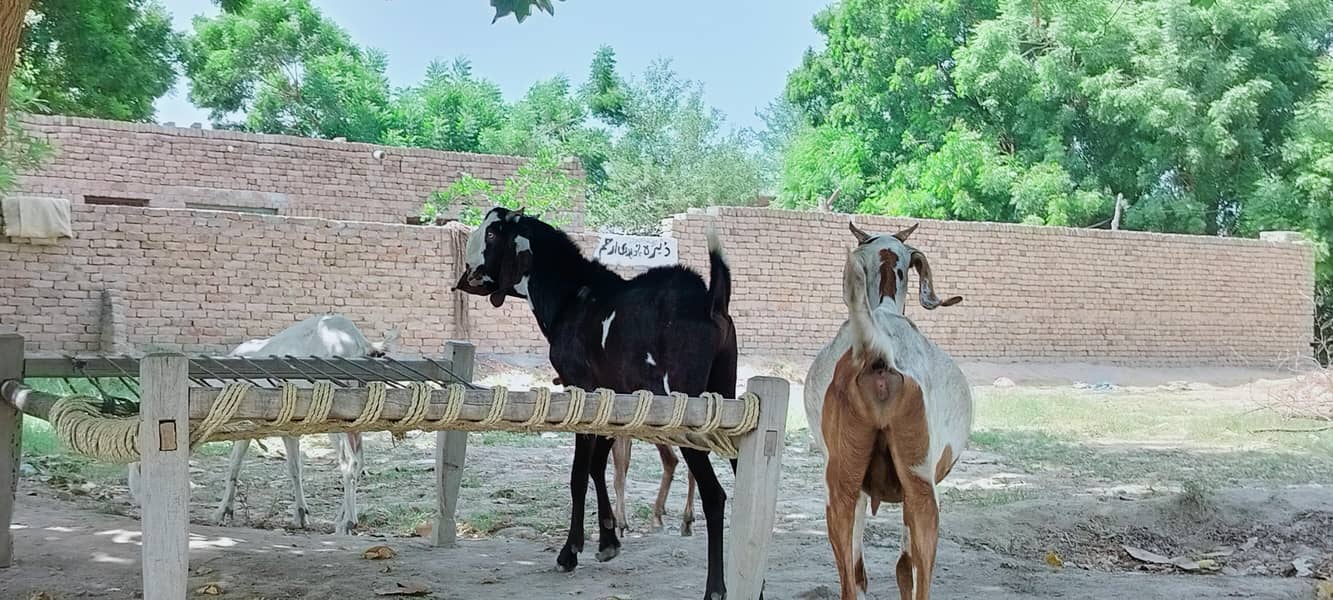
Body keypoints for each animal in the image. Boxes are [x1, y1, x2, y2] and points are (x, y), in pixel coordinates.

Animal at [211, 314, 398, 535]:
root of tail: (358, 342)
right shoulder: (289, 429)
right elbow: (295, 468)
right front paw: (300, 515)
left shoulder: (249, 423)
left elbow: (234, 464)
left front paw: (223, 512)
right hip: (359, 418)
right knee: (359, 461)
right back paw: (339, 519)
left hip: (336, 419)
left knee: (349, 461)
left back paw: (347, 523)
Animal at [454, 207, 739, 600]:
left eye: (494, 232)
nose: (467, 272)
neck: (572, 295)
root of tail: (712, 301)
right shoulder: (610, 399)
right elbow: (598, 466)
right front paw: (607, 540)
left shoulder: (582, 390)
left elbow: (578, 472)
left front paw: (570, 551)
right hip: (729, 396)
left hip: (689, 410)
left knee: (716, 495)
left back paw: (715, 587)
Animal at [810, 222, 970, 600]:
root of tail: (877, 352)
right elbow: (903, 567)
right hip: (920, 483)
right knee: (916, 567)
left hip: (841, 483)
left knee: (850, 573)